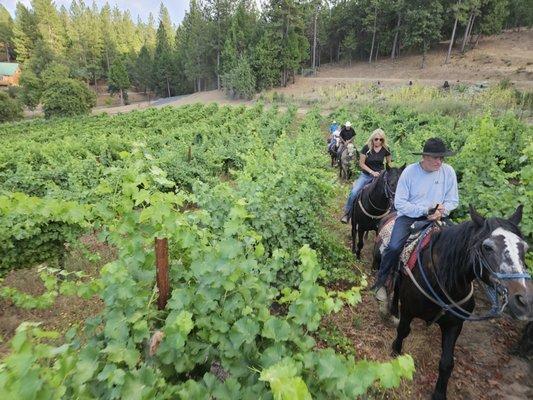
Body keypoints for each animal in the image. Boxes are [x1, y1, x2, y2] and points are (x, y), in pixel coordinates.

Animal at [372, 206, 528, 400]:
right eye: (487, 247)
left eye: (524, 247)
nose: (522, 300)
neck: (441, 279)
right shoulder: (408, 310)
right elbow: (403, 330)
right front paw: (395, 352)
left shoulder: (454, 324)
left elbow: (447, 362)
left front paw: (439, 393)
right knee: (396, 286)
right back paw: (392, 310)